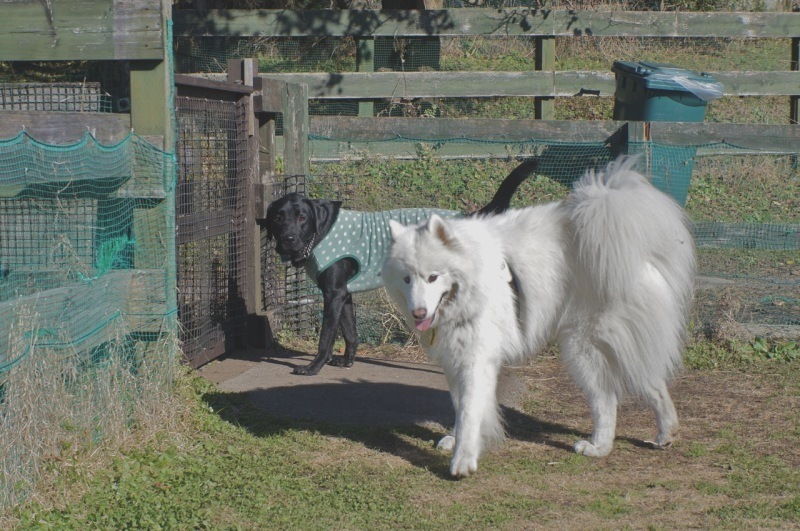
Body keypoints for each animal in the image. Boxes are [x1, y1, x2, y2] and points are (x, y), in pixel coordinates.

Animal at [268, 160, 536, 376]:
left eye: (302, 218)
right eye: (279, 218)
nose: (288, 239)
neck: (321, 233)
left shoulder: (333, 295)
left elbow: (326, 338)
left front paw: (313, 367)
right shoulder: (344, 295)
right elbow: (351, 332)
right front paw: (347, 362)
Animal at [382, 158, 692, 478]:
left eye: (433, 277)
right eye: (407, 279)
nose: (419, 312)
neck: (470, 281)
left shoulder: (476, 359)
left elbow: (469, 411)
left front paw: (463, 459)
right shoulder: (455, 359)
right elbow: (460, 405)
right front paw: (457, 440)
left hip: (582, 346)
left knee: (607, 399)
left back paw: (598, 447)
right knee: (652, 381)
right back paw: (666, 433)